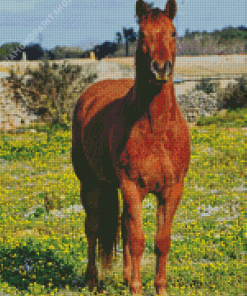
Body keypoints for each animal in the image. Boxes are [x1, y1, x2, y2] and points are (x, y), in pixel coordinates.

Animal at [72, 0, 191, 294]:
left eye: (173, 33)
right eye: (142, 35)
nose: (161, 68)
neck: (157, 129)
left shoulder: (172, 189)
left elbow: (161, 241)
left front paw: (159, 288)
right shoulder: (131, 186)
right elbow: (137, 239)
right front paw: (136, 289)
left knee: (124, 226)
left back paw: (125, 277)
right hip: (90, 184)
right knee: (92, 227)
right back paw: (92, 280)